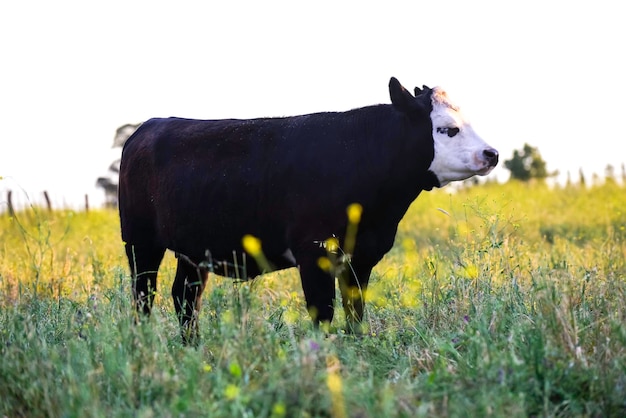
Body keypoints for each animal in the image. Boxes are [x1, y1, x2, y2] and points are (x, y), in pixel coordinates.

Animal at [117, 77, 498, 342]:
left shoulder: (362, 256)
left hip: (194, 251)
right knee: (144, 296)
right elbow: (323, 312)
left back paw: (192, 349)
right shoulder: (314, 251)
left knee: (185, 297)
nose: (491, 153)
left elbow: (355, 311)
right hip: (140, 242)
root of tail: (151, 126)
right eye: (447, 130)